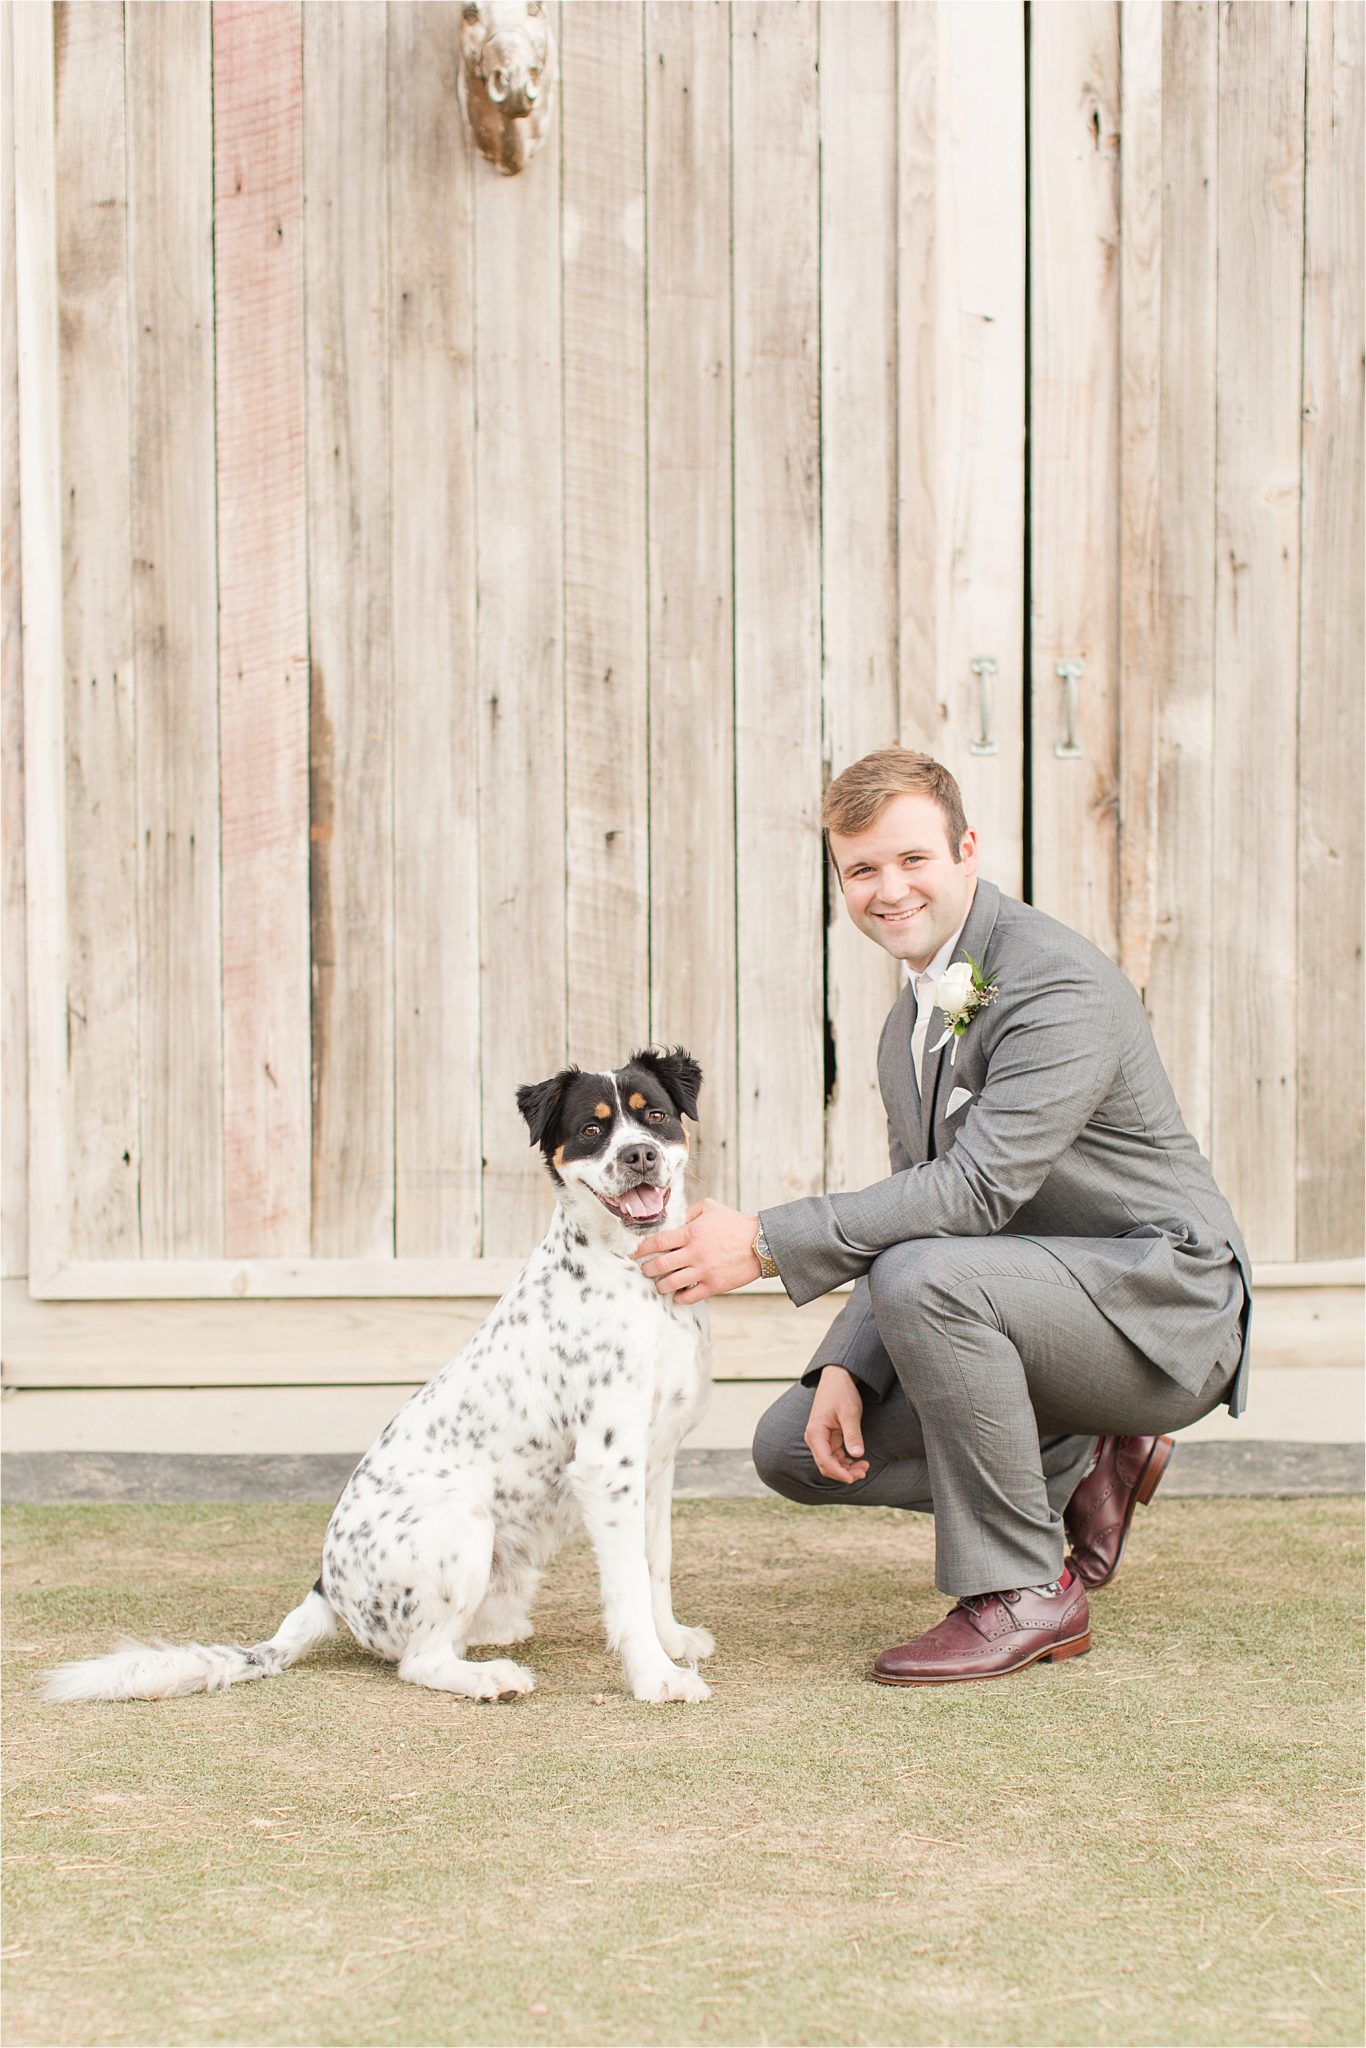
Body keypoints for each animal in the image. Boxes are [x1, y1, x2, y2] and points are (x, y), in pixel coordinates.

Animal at [42, 1048, 716, 1703]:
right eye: (592, 1130)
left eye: (655, 1116)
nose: (638, 1155)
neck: (634, 1278)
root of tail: (322, 1589)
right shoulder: (607, 1467)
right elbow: (627, 1588)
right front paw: (655, 1677)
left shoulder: (655, 1465)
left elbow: (654, 1567)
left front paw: (671, 1641)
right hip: (464, 1520)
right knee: (421, 1661)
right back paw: (489, 1678)